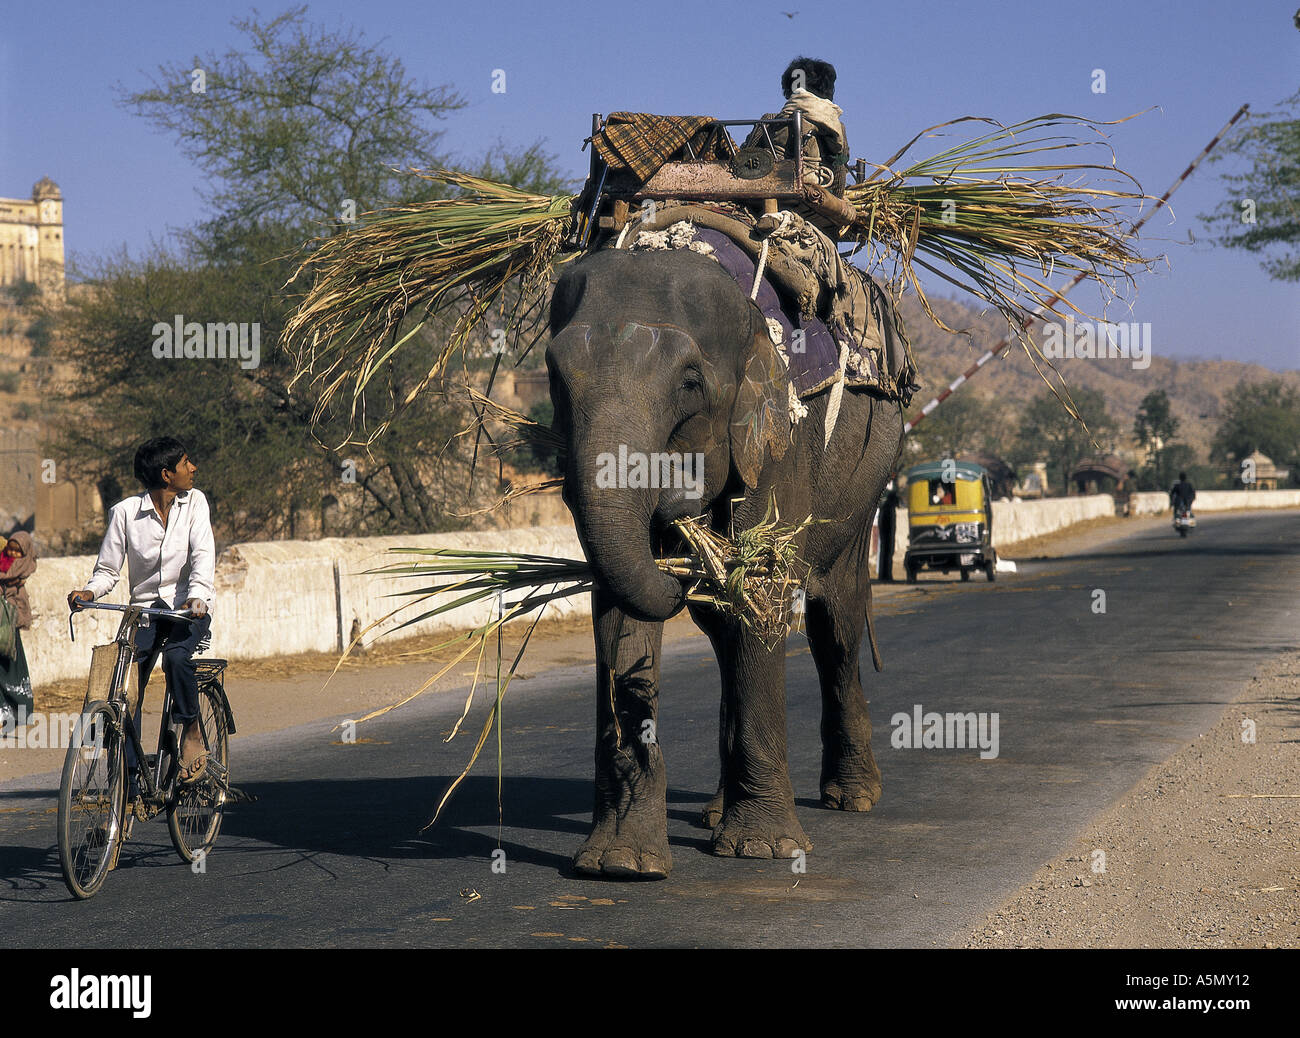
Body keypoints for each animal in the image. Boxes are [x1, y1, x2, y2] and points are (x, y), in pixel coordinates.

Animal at [546, 248, 904, 884]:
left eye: (691, 383)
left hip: (868, 474)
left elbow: (757, 593)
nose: (675, 523)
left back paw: (852, 797)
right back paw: (714, 813)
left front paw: (763, 850)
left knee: (835, 619)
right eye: (554, 378)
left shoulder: (779, 442)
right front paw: (619, 864)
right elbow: (619, 621)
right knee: (721, 631)